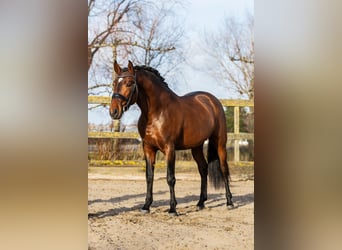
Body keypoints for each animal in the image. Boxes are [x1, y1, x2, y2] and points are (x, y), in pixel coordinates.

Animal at [109, 60, 235, 215]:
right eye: (114, 83)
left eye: (129, 83)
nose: (114, 111)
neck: (157, 112)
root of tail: (212, 100)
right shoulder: (148, 148)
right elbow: (149, 177)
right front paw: (146, 206)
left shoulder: (169, 148)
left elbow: (170, 178)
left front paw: (172, 209)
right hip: (196, 147)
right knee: (203, 169)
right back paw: (200, 202)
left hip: (220, 143)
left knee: (223, 169)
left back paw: (229, 202)